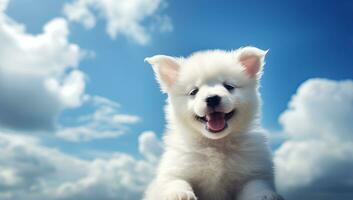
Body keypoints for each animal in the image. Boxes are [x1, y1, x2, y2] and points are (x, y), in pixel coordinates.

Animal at [144, 47, 284, 200]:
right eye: (194, 91)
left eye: (229, 86)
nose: (212, 98)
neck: (216, 144)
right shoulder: (175, 167)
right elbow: (175, 181)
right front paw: (179, 194)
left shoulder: (255, 170)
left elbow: (257, 184)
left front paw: (265, 195)